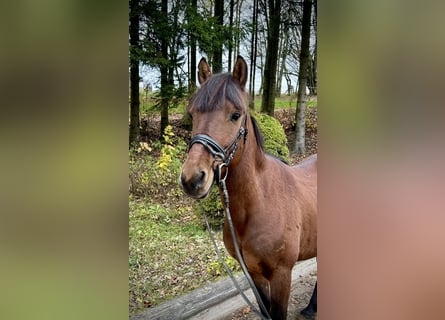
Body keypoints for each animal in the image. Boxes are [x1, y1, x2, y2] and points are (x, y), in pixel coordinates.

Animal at [179, 56, 318, 318]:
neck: (259, 203)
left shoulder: (282, 275)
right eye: (192, 114)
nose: (192, 179)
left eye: (235, 115)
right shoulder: (253, 274)